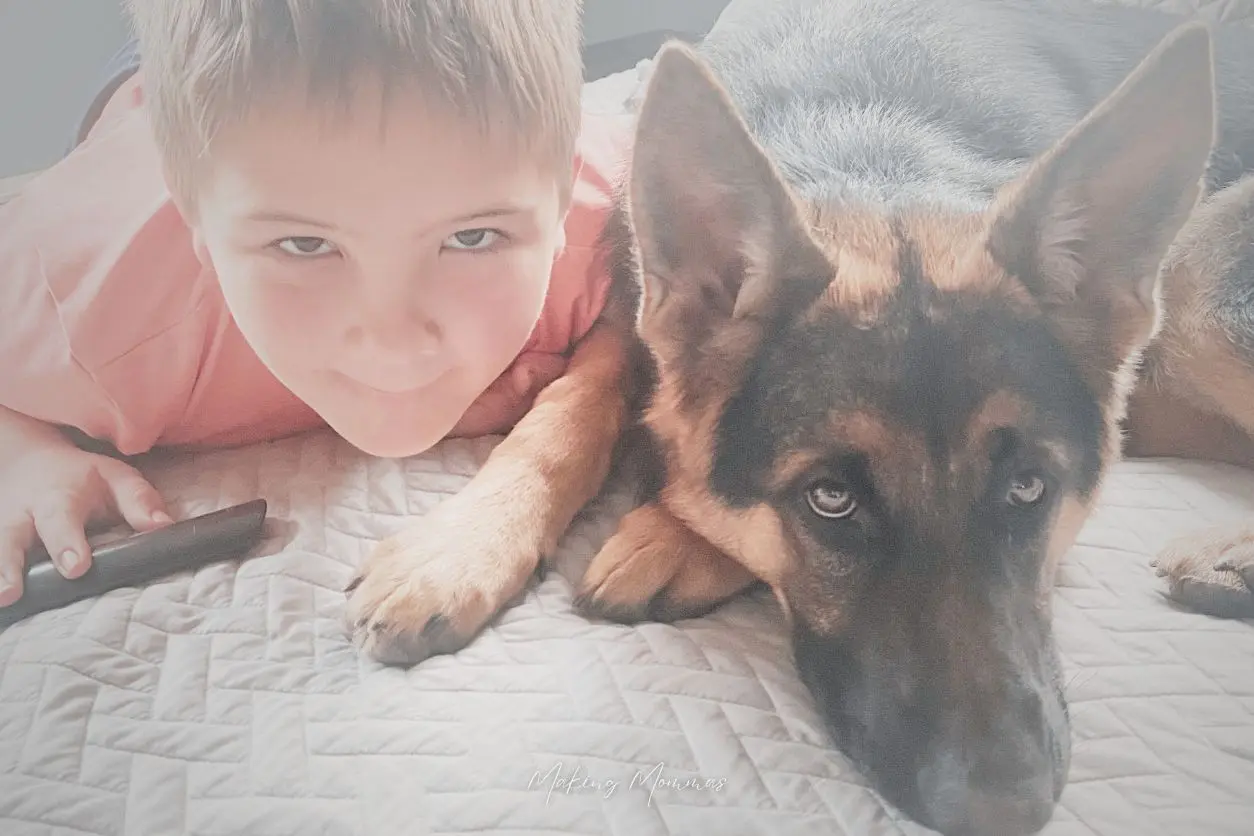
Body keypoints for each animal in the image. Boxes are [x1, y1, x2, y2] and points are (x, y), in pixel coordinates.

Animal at [574, 0, 1254, 832]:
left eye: (1029, 486)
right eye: (831, 500)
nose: (1005, 811)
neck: (877, 159)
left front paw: (679, 528)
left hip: (1198, 294)